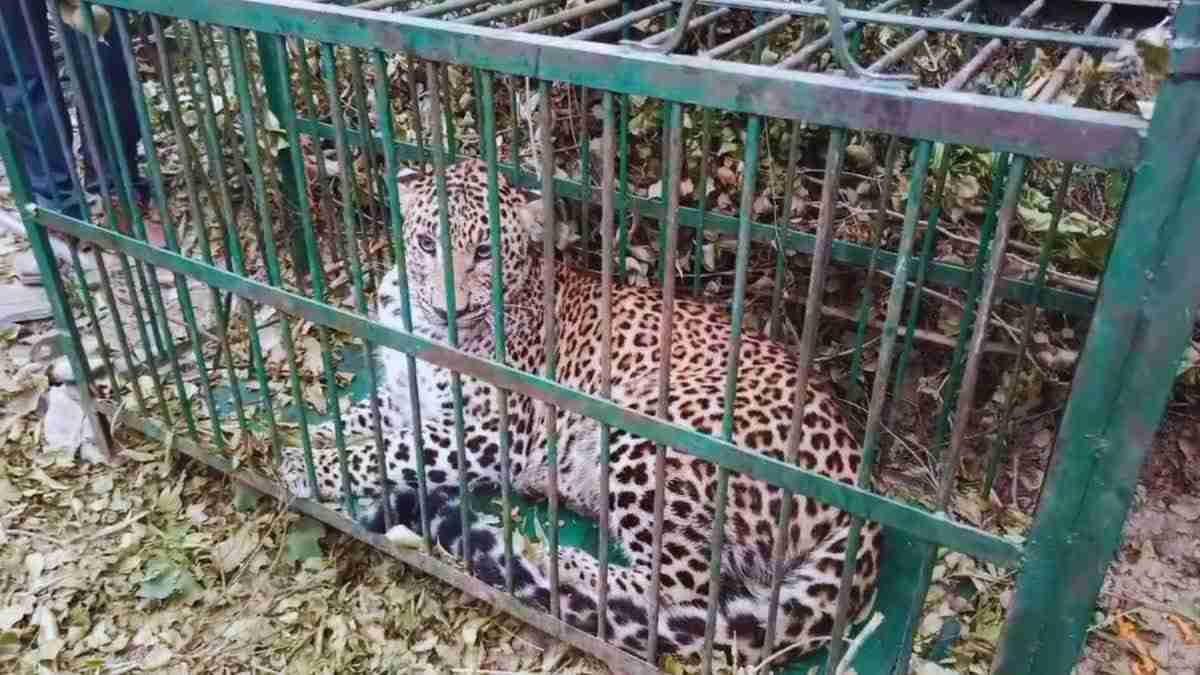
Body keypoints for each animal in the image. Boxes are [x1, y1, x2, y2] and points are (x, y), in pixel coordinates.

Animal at [278, 158, 882, 668]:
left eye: (485, 252)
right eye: (426, 243)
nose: (452, 308)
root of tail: (861, 487)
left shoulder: (487, 435)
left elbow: (389, 451)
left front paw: (303, 467)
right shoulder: (405, 395)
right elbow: (357, 420)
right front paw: (292, 443)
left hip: (651, 430)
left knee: (674, 592)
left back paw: (541, 555)